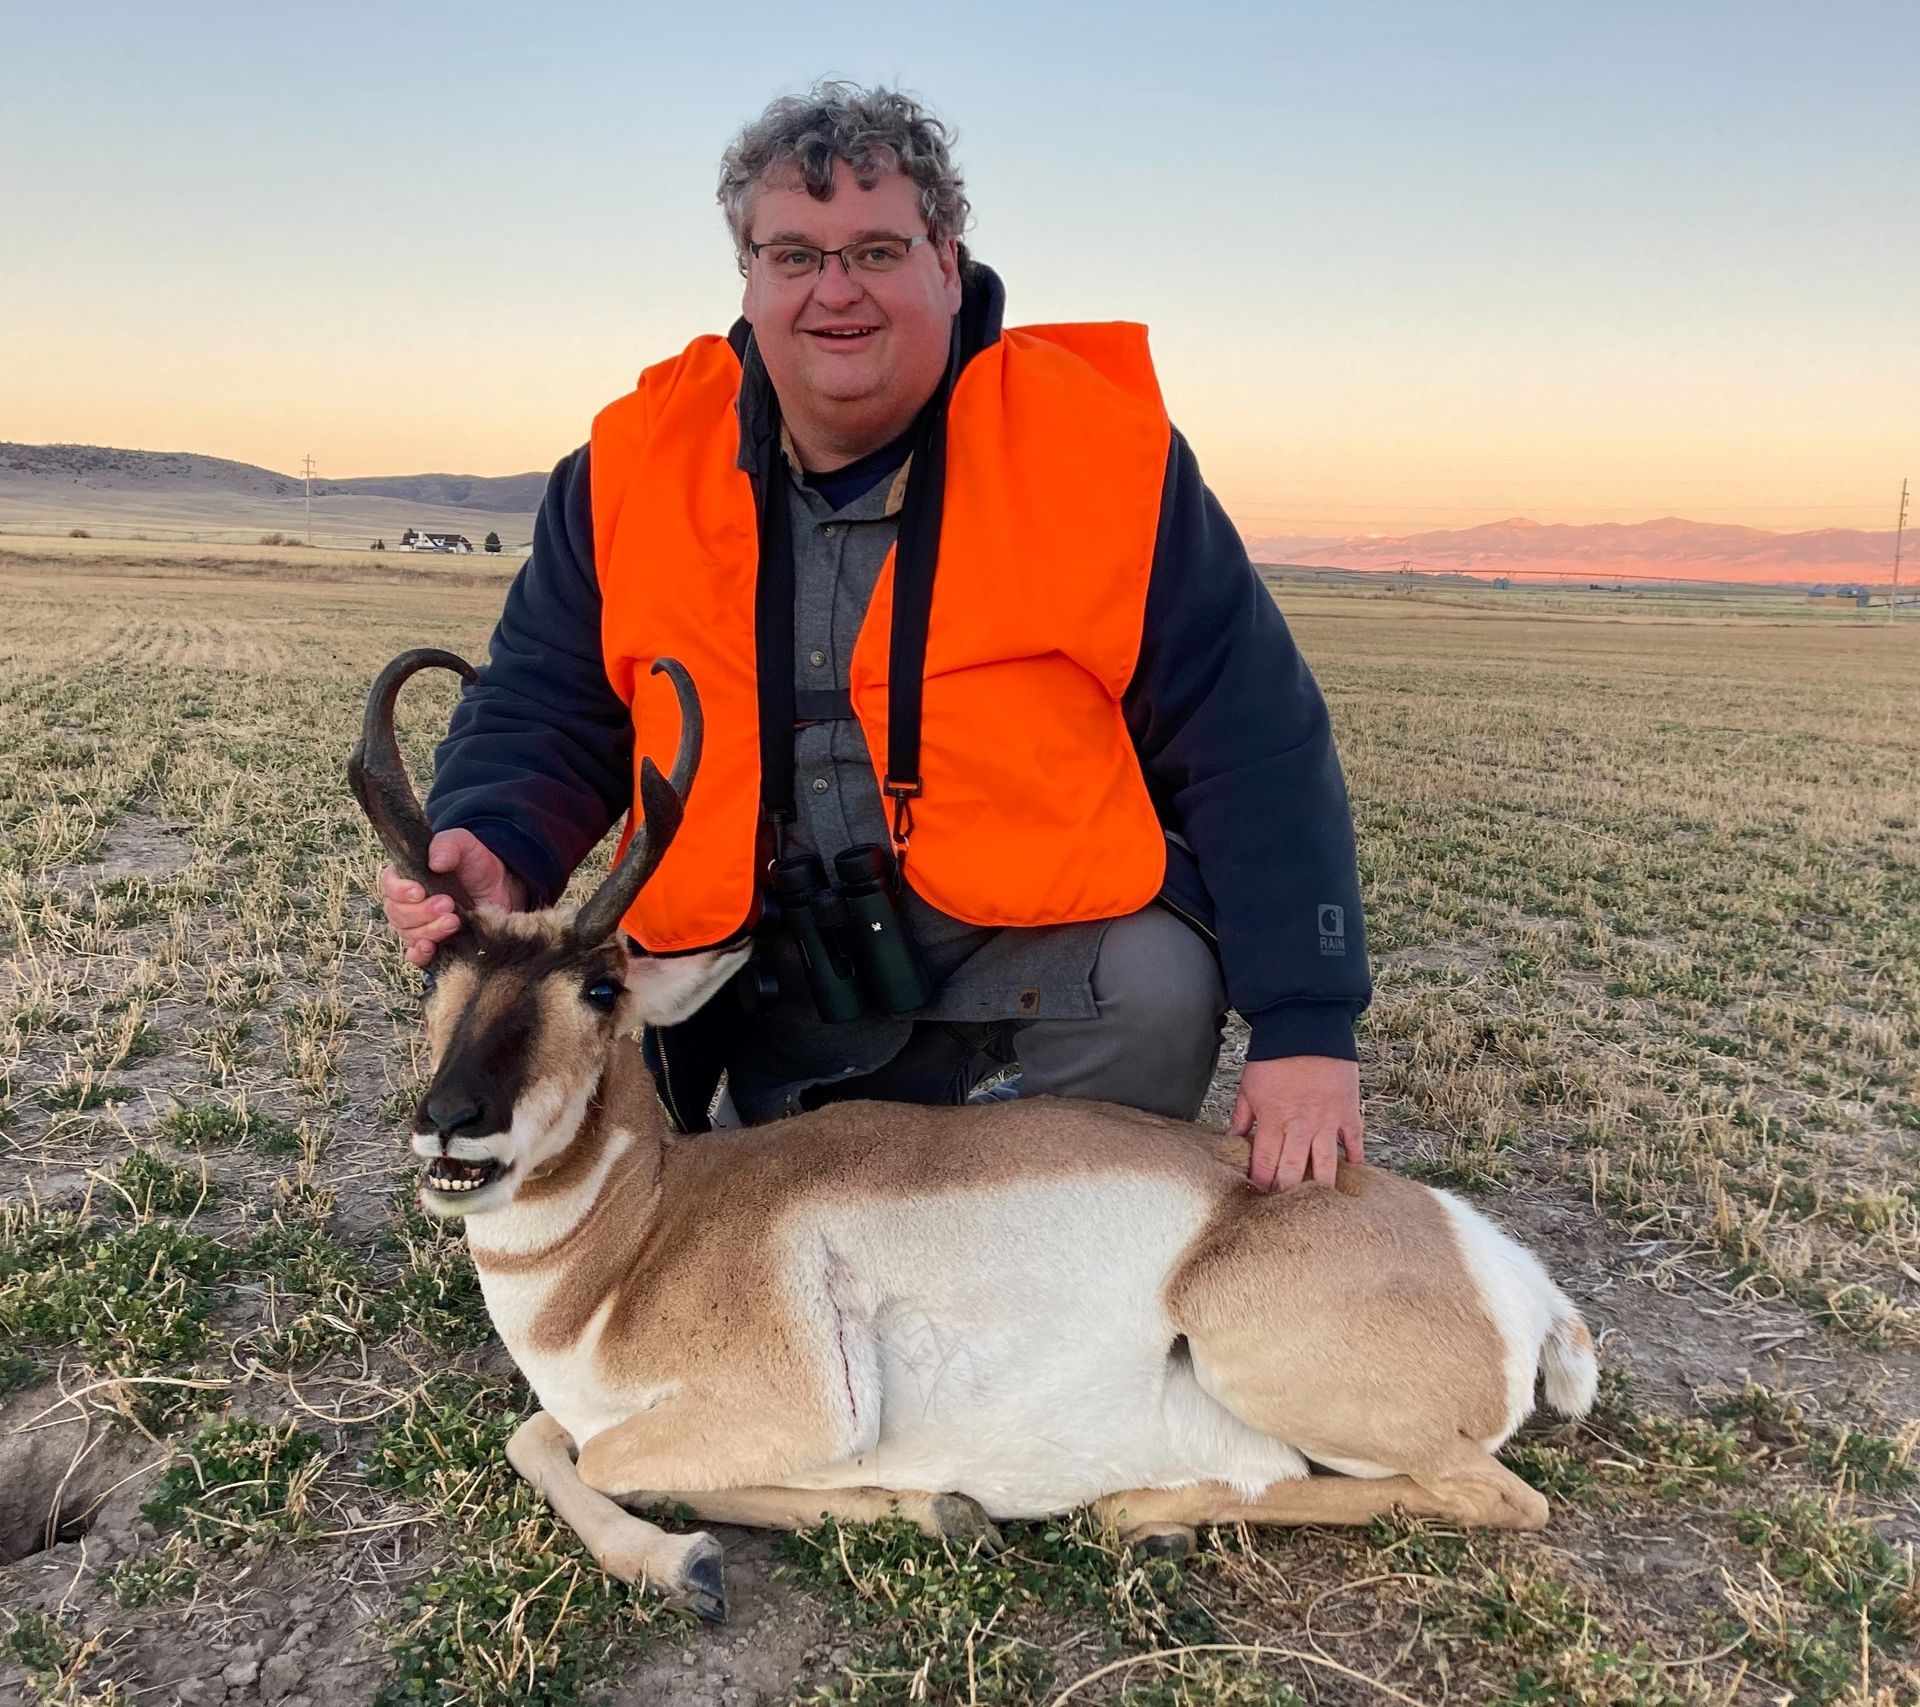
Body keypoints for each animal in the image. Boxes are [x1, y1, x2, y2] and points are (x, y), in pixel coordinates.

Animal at [350, 648, 1599, 1622]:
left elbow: (577, 1450)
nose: (453, 1127)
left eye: (602, 988)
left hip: (1250, 1349)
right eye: (438, 968)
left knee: (1493, 1496)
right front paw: (923, 1509)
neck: (642, 1240)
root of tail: (1503, 1268)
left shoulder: (798, 1405)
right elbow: (548, 1442)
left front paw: (693, 1564)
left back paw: (1140, 1513)